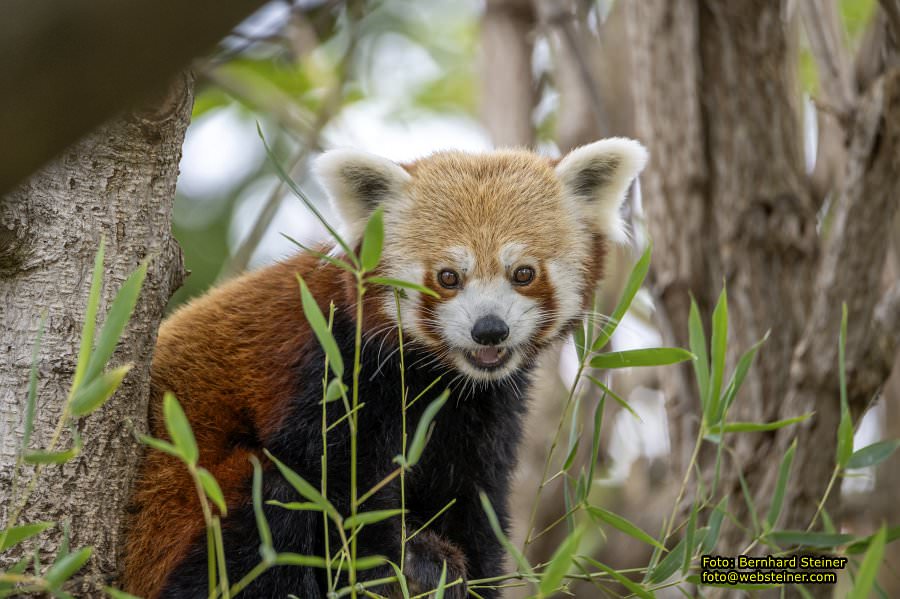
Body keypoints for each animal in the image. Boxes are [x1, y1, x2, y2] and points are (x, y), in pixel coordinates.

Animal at [125, 138, 648, 596]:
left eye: (523, 273)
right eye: (448, 277)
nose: (489, 330)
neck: (435, 374)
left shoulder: (481, 415)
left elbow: (471, 504)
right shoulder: (330, 369)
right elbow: (336, 493)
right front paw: (411, 557)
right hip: (177, 511)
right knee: (263, 517)